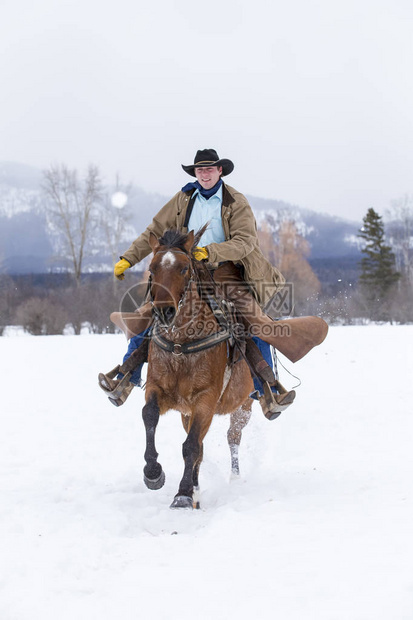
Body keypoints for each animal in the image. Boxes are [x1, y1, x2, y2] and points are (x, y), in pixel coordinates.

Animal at [142, 228, 254, 508]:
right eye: (152, 268)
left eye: (184, 269)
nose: (165, 311)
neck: (181, 344)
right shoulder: (158, 388)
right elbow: (149, 415)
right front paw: (153, 472)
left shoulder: (206, 399)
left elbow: (191, 446)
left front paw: (182, 494)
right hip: (187, 412)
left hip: (244, 405)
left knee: (232, 437)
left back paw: (233, 478)